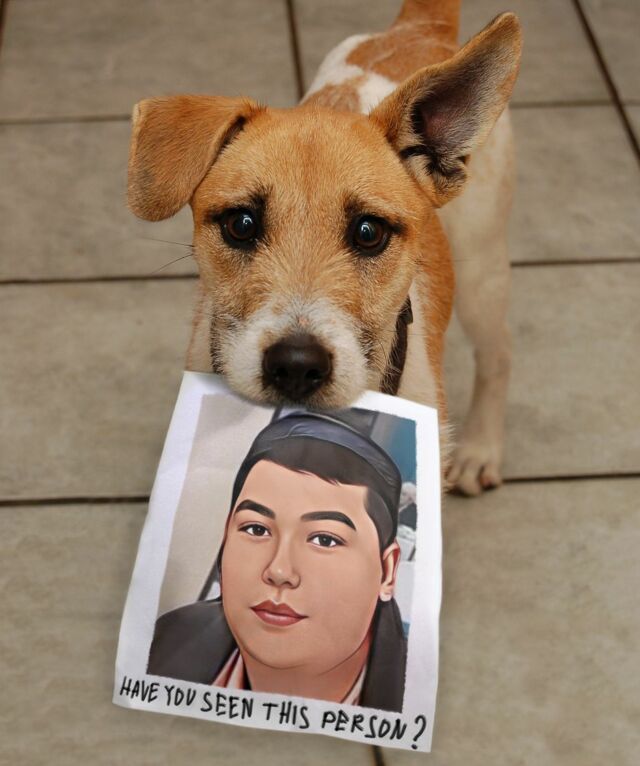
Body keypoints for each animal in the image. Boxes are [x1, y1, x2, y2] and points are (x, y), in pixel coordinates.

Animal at [127, 0, 522, 496]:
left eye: (369, 232)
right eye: (241, 224)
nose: (296, 365)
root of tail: (420, 27)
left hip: (481, 271)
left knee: (498, 352)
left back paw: (479, 449)